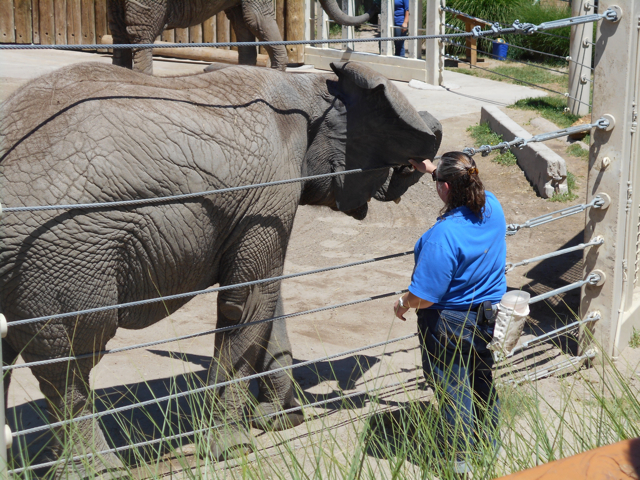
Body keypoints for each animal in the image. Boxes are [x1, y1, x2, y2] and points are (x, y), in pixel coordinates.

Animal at [0, 60, 441, 478]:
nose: (419, 168)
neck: (311, 86)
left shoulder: (261, 205)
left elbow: (264, 298)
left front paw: (281, 421)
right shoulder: (272, 187)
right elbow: (247, 301)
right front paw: (235, 449)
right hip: (58, 252)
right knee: (72, 359)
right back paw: (101, 471)